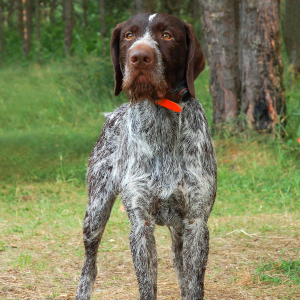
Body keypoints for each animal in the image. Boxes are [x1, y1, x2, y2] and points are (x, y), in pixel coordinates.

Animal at [74, 12, 216, 300]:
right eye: (129, 35)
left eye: (167, 35)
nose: (139, 57)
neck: (161, 116)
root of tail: (113, 113)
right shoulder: (141, 224)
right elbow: (147, 285)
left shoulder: (196, 223)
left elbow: (193, 284)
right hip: (95, 213)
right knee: (89, 265)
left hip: (179, 230)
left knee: (179, 264)